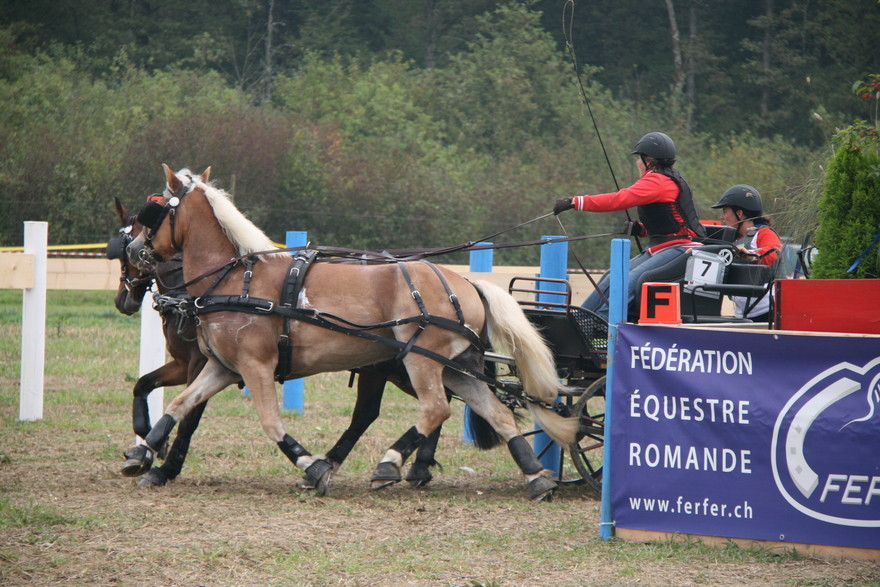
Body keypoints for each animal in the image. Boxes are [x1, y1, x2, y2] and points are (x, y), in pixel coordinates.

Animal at [124, 164, 577, 500]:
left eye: (152, 212)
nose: (130, 251)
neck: (237, 280)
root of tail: (465, 283)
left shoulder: (255, 366)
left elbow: (270, 422)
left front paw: (311, 467)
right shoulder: (221, 367)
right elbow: (180, 404)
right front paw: (142, 451)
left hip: (420, 362)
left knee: (436, 409)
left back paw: (389, 463)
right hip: (454, 366)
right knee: (495, 412)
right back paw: (536, 477)